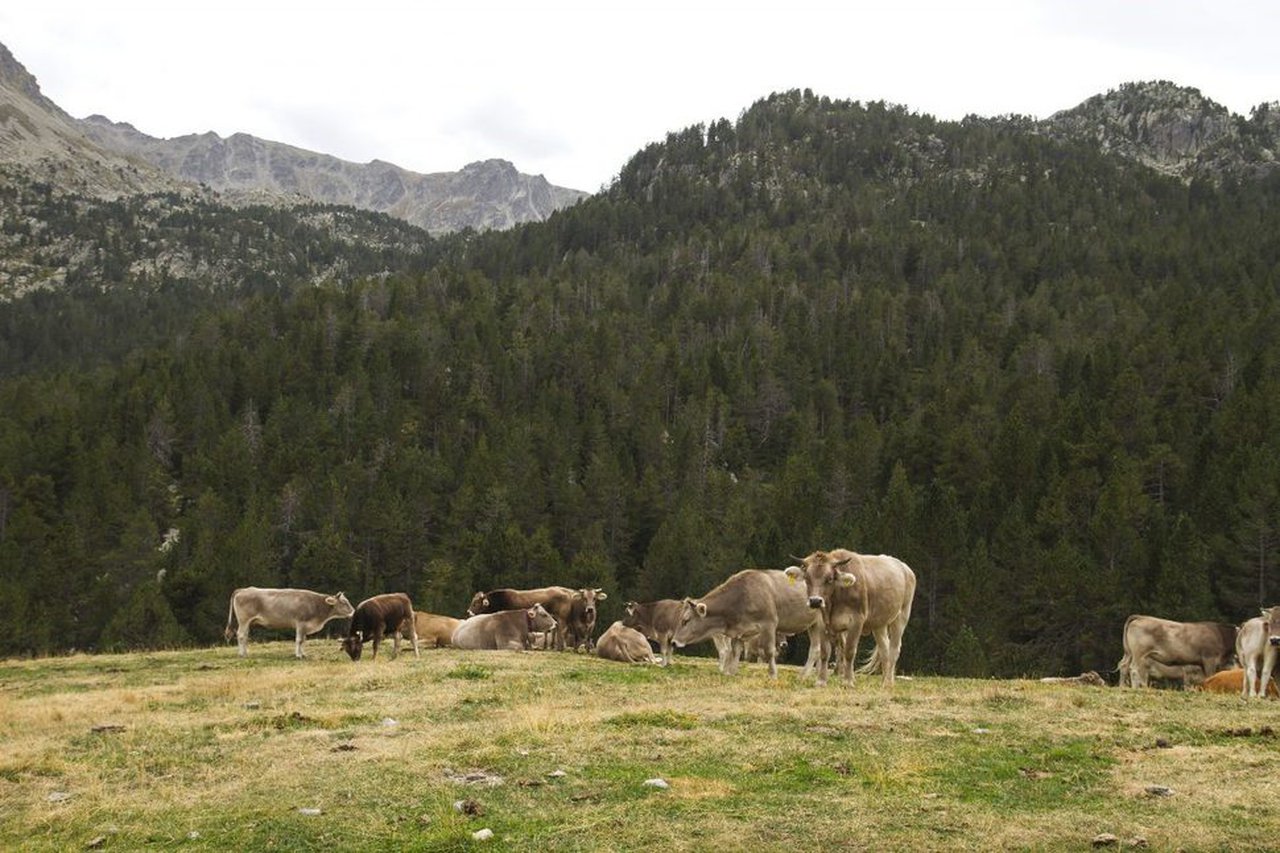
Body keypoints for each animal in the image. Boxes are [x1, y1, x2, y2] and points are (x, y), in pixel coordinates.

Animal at [224, 587, 355, 659]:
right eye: (344, 603)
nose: (354, 612)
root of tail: (243, 589)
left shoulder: (305, 626)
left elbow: (304, 641)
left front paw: (303, 654)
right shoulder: (301, 623)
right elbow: (299, 640)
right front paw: (298, 655)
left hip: (247, 622)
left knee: (245, 636)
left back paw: (245, 653)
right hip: (244, 620)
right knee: (241, 635)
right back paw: (242, 654)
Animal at [671, 569, 824, 678]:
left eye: (686, 620)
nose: (673, 642)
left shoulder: (769, 624)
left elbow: (769, 651)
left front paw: (773, 675)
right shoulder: (739, 631)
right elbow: (735, 652)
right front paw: (731, 673)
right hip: (813, 625)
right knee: (815, 650)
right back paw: (803, 676)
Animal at [785, 549, 917, 687]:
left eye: (829, 579)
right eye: (807, 578)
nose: (815, 601)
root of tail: (905, 568)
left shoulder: (856, 622)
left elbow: (849, 651)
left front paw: (848, 682)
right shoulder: (822, 623)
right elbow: (824, 652)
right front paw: (821, 681)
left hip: (902, 616)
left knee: (894, 649)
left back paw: (888, 683)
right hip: (879, 623)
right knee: (884, 650)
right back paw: (884, 681)